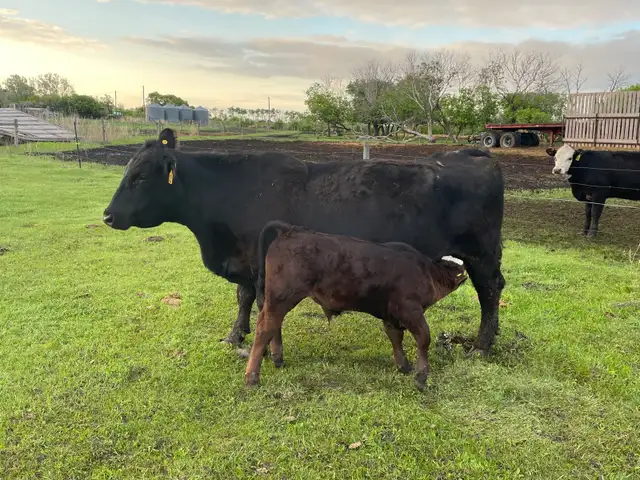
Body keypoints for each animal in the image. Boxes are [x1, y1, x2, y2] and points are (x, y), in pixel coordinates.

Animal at [103, 128, 506, 356]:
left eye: (140, 177)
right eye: (127, 172)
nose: (108, 215)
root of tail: (468, 153)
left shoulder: (262, 263)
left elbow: (260, 302)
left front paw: (262, 346)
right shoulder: (245, 263)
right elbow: (242, 298)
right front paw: (235, 336)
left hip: (481, 252)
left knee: (490, 290)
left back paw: (482, 346)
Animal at [246, 221, 468, 390]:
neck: (427, 272)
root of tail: (290, 229)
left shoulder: (391, 315)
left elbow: (396, 338)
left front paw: (403, 366)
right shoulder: (410, 310)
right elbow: (423, 339)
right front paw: (421, 377)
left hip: (276, 299)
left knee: (273, 324)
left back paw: (276, 358)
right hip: (283, 296)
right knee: (264, 327)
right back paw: (252, 378)